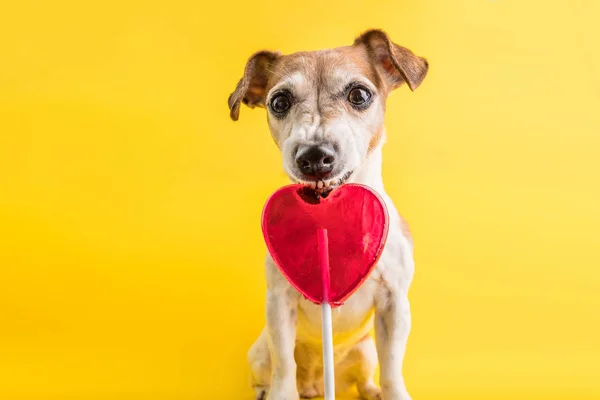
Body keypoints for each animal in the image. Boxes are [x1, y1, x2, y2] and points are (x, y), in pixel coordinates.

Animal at [227, 28, 428, 400]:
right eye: (279, 102)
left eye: (359, 94)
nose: (314, 156)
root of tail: (317, 382)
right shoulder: (279, 304)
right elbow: (284, 369)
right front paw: (280, 391)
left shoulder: (394, 305)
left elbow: (392, 370)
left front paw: (391, 390)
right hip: (259, 351)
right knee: (271, 374)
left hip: (365, 351)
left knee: (365, 376)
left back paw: (370, 391)